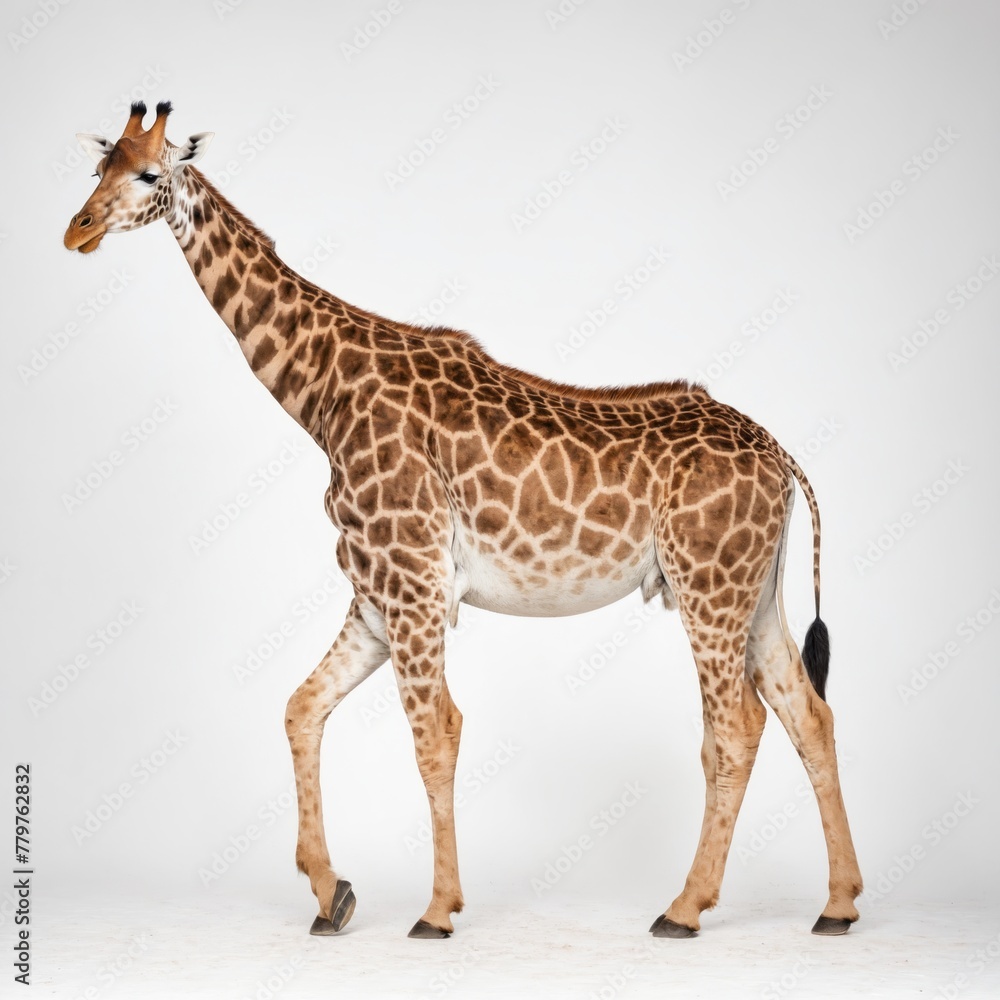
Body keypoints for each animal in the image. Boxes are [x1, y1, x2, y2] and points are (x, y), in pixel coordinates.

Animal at [64, 101, 862, 940]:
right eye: (97, 168)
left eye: (148, 174)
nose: (76, 231)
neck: (322, 395)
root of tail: (781, 456)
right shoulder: (376, 593)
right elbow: (300, 708)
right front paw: (331, 895)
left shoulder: (412, 580)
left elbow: (435, 731)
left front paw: (437, 910)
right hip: (755, 592)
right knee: (809, 714)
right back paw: (837, 903)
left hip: (708, 586)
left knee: (733, 727)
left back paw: (683, 908)